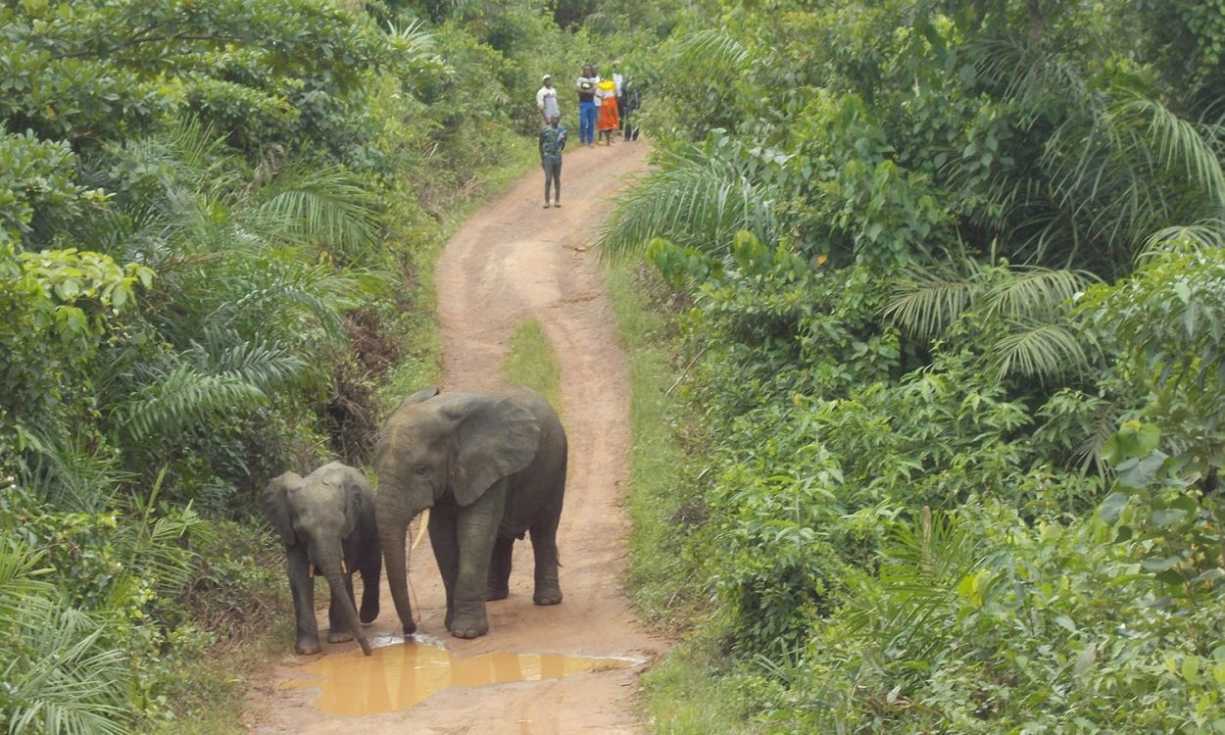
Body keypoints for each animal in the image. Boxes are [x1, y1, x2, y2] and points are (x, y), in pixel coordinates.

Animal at [264, 460, 379, 656]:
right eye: (302, 531)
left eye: (340, 526)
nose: (369, 653)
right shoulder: (289, 533)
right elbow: (298, 575)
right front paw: (306, 650)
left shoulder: (352, 527)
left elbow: (342, 569)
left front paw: (340, 639)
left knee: (371, 567)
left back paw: (364, 619)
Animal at [374, 384, 565, 637]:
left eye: (422, 470)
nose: (411, 629)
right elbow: (443, 538)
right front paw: (451, 625)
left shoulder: (489, 464)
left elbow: (475, 531)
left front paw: (467, 633)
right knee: (500, 538)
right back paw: (492, 596)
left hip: (557, 465)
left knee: (544, 530)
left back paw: (547, 601)